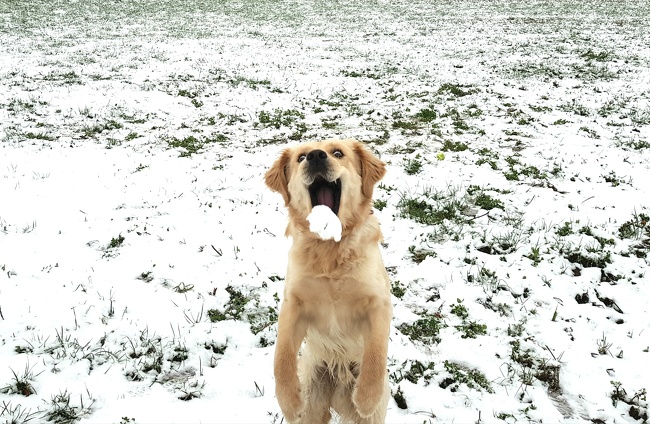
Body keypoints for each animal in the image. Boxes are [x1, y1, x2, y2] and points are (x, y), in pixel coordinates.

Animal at [264, 137, 390, 422]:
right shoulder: (293, 303)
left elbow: (376, 353)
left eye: (338, 153)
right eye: (300, 157)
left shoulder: (378, 302)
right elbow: (281, 355)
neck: (330, 249)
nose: (315, 156)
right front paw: (288, 401)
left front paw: (367, 397)